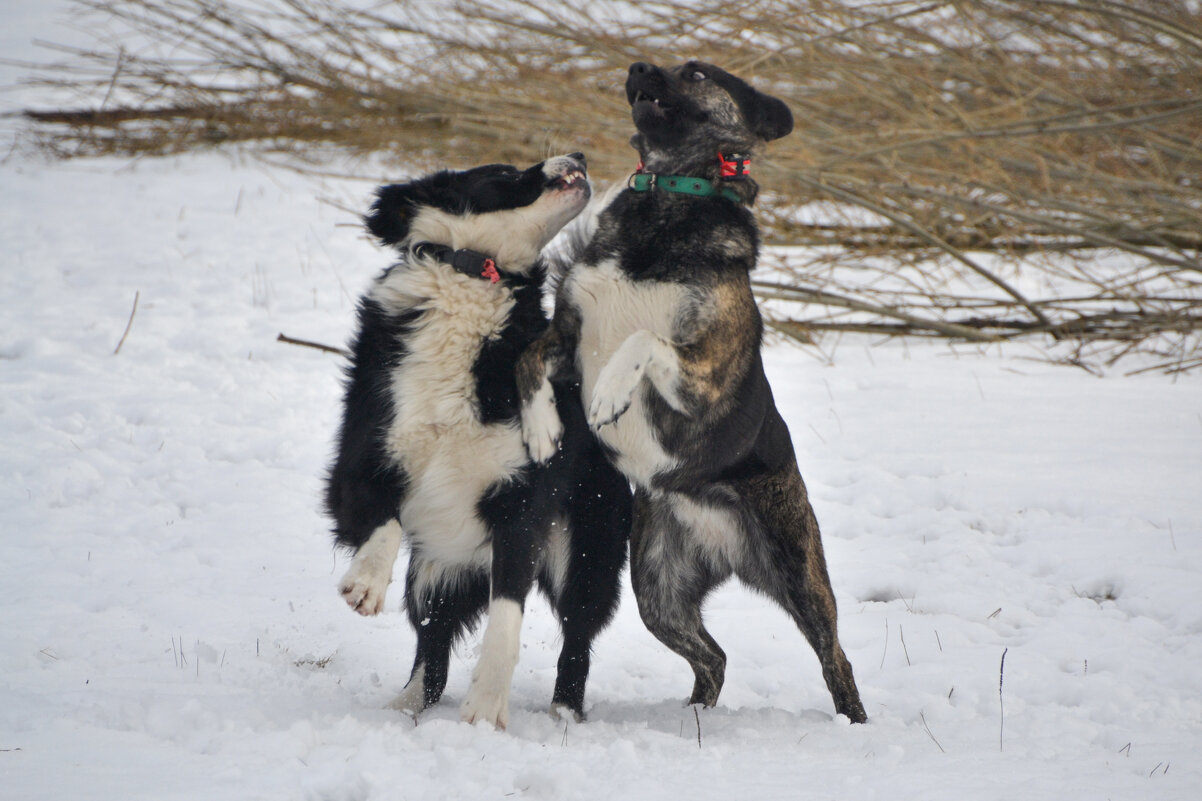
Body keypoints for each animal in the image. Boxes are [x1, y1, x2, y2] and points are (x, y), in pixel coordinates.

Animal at [324, 152, 634, 726]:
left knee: (576, 637)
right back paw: (404, 707)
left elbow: (506, 621)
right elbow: (384, 522)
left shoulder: (520, 507)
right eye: (507, 172)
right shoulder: (361, 458)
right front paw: (365, 583)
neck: (476, 276)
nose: (578, 156)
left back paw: (563, 714)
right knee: (432, 642)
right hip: (436, 569)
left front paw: (486, 710)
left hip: (587, 550)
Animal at [516, 57, 865, 716]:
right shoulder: (566, 336)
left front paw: (609, 395)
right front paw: (543, 427)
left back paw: (853, 724)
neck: (668, 195)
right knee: (714, 656)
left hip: (799, 573)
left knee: (837, 661)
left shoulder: (705, 374)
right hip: (658, 590)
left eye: (697, 73)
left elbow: (642, 340)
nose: (637, 65)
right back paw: (694, 714)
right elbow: (528, 360)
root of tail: (723, 546)